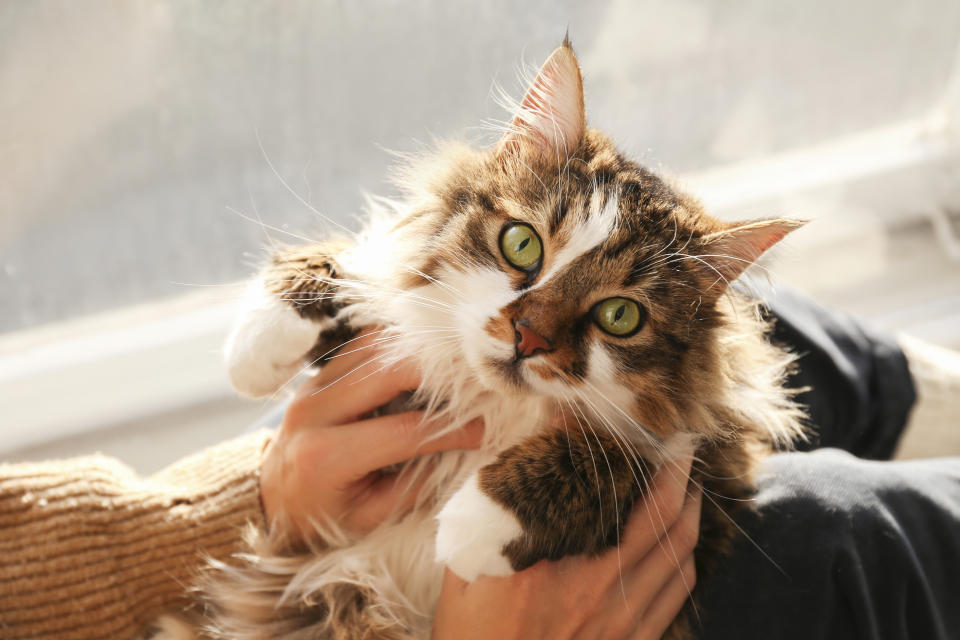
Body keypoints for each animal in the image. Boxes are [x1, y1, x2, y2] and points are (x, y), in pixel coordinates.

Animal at [206, 38, 808, 640]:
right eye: (521, 244)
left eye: (619, 316)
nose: (529, 336)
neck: (491, 402)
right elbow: (355, 267)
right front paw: (257, 345)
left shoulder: (705, 466)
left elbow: (611, 456)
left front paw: (469, 527)